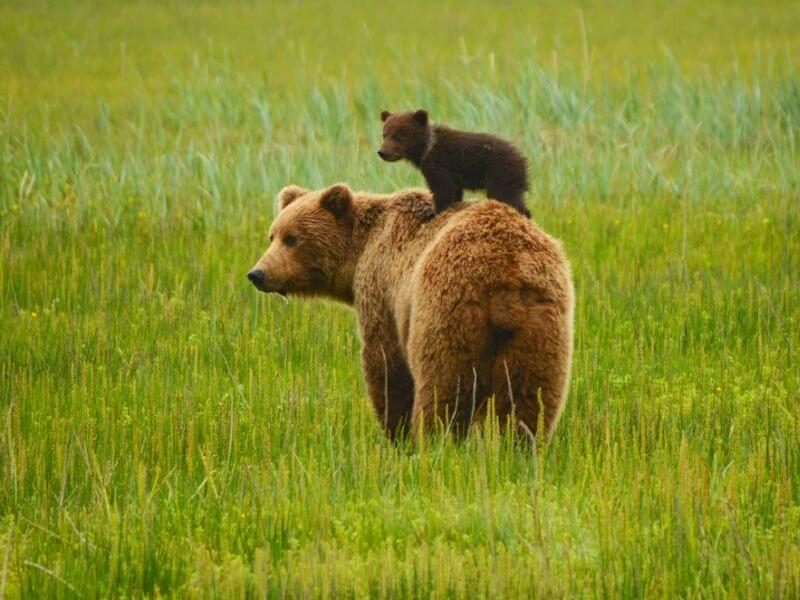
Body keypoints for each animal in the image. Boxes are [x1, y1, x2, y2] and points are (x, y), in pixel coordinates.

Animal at [247, 184, 573, 441]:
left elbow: (385, 362)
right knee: (531, 395)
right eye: (272, 235)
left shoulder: (382, 288)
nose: (257, 274)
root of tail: (506, 274)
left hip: (446, 311)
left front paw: (396, 432)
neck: (360, 251)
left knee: (443, 385)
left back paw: (435, 442)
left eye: (293, 238)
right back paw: (519, 447)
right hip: (542, 324)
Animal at [377, 109, 531, 218]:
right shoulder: (451, 174)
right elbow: (454, 192)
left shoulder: (439, 164)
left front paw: (434, 212)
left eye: (398, 136)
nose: (382, 152)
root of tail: (522, 160)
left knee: (507, 197)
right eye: (384, 134)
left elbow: (442, 189)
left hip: (500, 174)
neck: (426, 149)